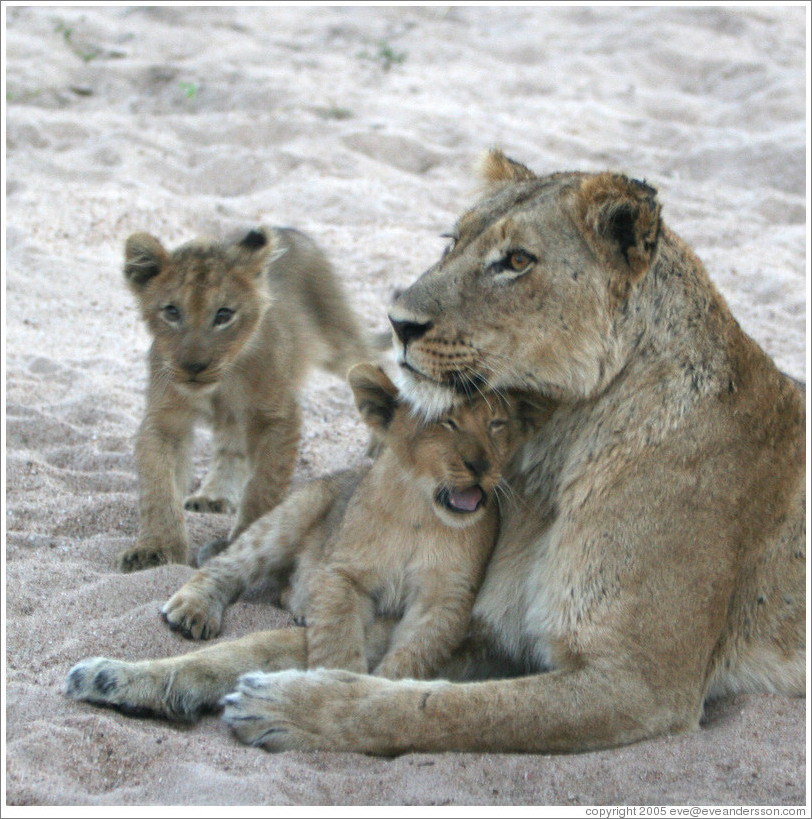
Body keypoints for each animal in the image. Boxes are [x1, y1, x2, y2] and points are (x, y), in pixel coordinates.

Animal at [118, 226, 371, 572]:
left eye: (223, 315)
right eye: (171, 312)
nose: (194, 367)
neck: (221, 383)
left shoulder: (277, 416)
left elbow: (264, 484)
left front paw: (245, 540)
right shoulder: (164, 420)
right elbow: (158, 488)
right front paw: (155, 549)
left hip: (337, 337)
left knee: (375, 362)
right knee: (230, 444)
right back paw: (214, 495)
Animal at [158, 363, 551, 681]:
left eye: (496, 424)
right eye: (446, 422)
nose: (481, 466)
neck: (422, 517)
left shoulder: (446, 598)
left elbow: (415, 652)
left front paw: (381, 692)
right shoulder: (343, 572)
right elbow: (338, 636)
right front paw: (335, 680)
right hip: (296, 511)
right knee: (230, 563)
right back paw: (193, 610)